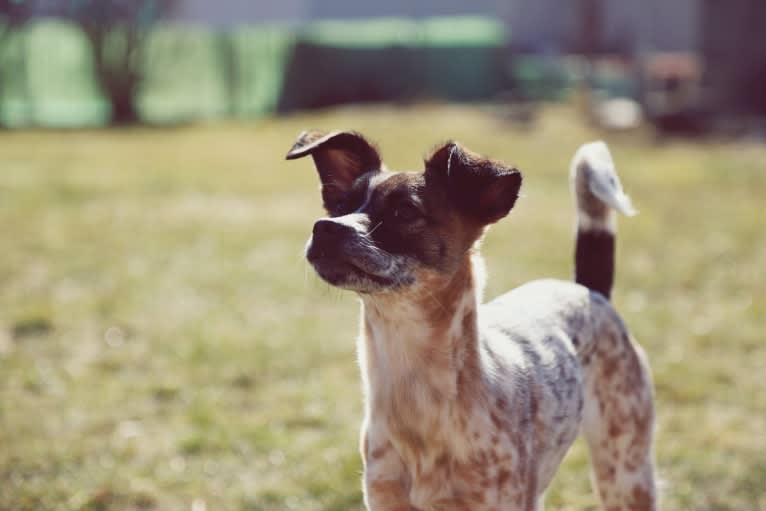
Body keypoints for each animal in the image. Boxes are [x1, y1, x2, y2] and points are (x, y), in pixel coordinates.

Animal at [288, 133, 660, 511]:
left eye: (405, 211)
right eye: (339, 207)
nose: (326, 228)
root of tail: (588, 290)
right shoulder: (384, 497)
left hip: (625, 473)